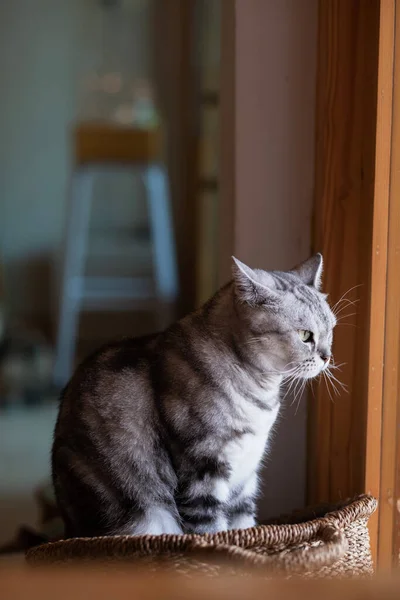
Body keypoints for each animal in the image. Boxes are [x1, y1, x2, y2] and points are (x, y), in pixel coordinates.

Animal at [52, 255, 334, 536]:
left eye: (330, 329)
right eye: (305, 335)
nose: (327, 356)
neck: (261, 391)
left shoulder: (246, 475)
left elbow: (244, 524)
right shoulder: (202, 467)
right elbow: (210, 530)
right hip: (142, 509)